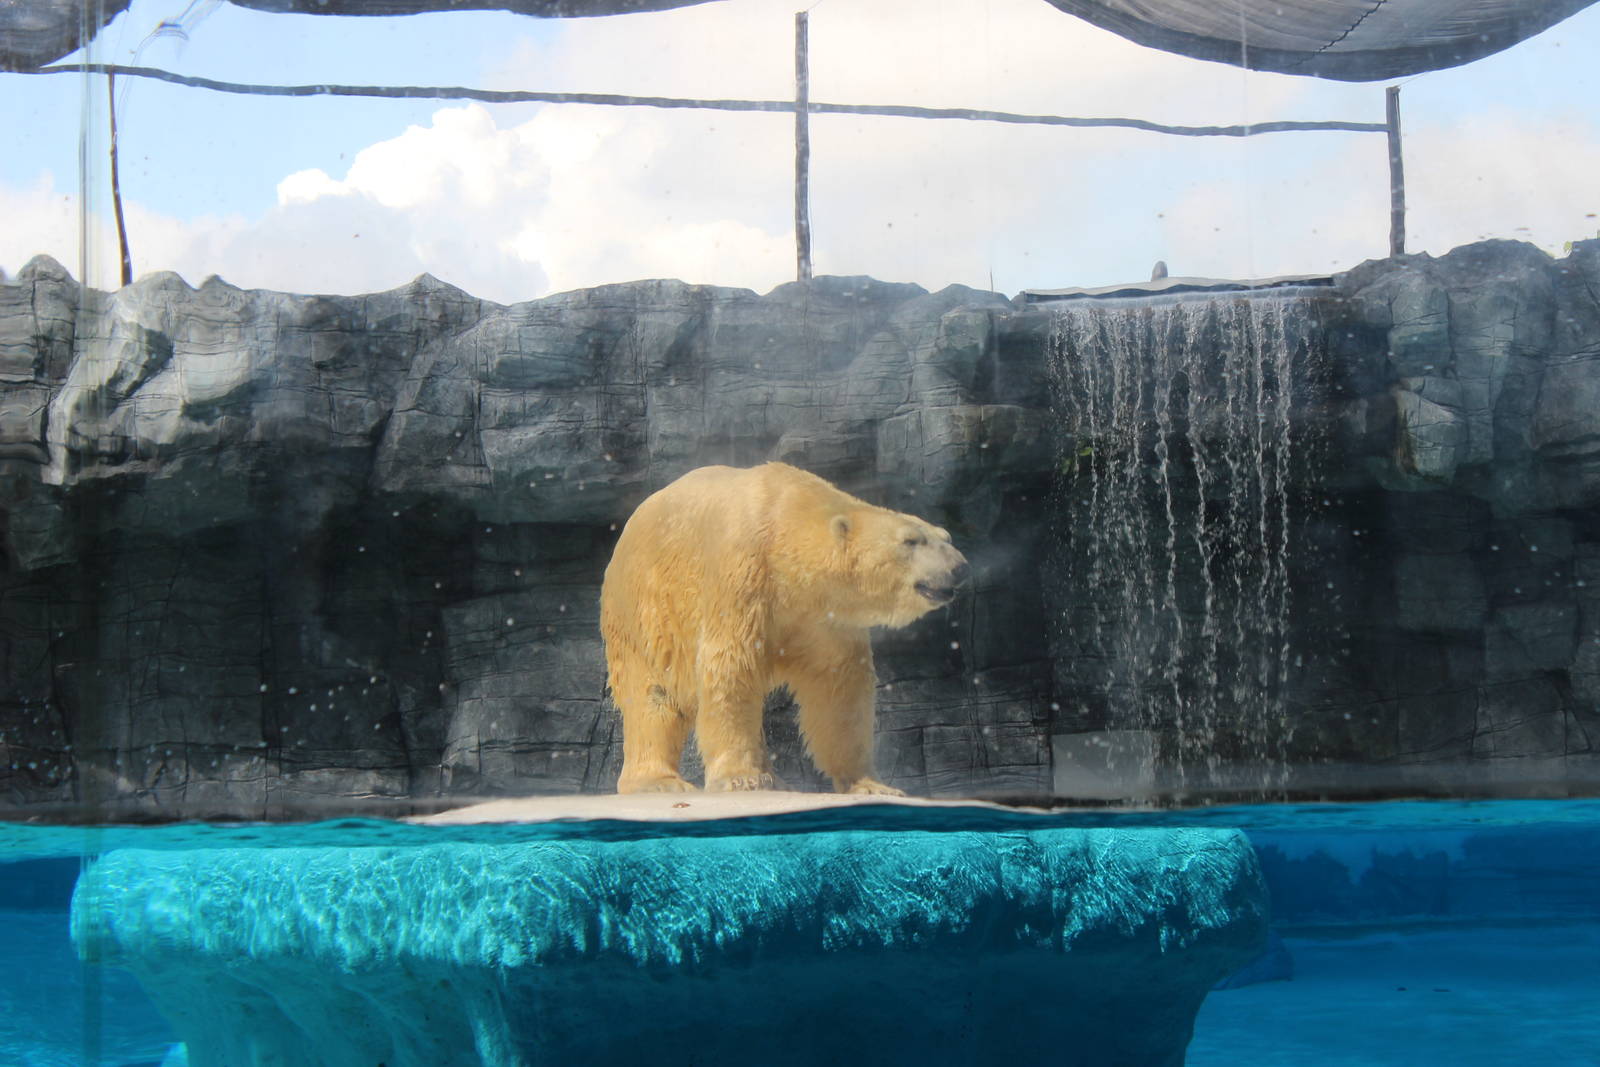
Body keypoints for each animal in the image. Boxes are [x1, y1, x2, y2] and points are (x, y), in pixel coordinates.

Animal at [600, 462, 970, 795]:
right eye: (910, 541)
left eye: (945, 536)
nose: (960, 567)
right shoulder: (741, 577)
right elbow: (730, 668)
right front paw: (740, 778)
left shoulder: (824, 617)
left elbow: (839, 688)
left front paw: (870, 784)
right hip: (642, 612)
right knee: (652, 696)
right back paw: (657, 782)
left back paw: (775, 778)